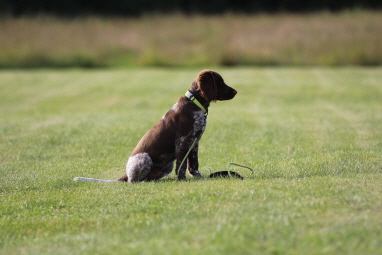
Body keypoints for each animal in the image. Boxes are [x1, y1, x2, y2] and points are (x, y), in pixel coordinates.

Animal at [72, 68, 236, 182]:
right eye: (220, 82)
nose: (236, 91)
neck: (194, 103)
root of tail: (125, 174)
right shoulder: (183, 141)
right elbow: (182, 165)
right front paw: (182, 180)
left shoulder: (194, 142)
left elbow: (193, 163)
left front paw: (197, 176)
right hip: (144, 158)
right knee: (133, 181)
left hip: (166, 166)